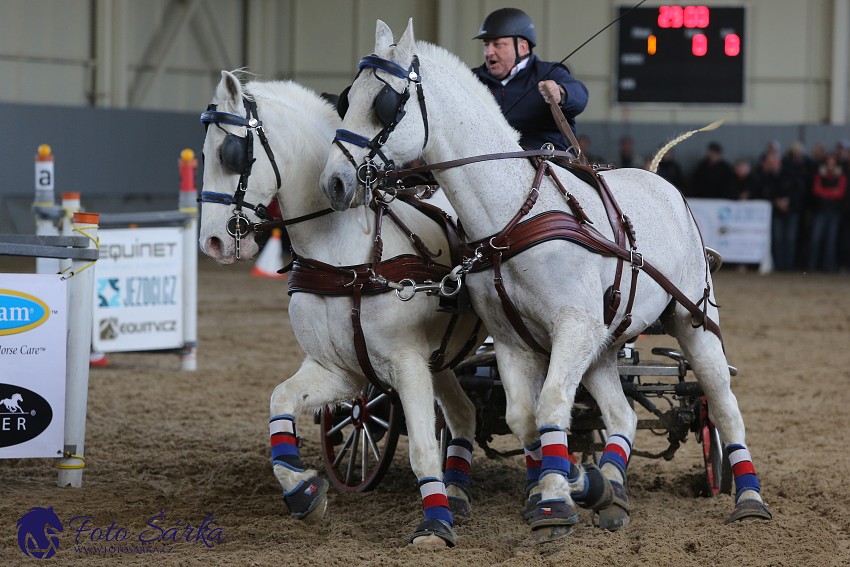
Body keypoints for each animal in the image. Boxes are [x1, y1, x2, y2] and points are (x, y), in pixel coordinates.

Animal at [195, 69, 480, 548]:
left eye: (228, 153)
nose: (211, 242)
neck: (343, 260)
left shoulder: (407, 363)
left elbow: (423, 448)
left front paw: (434, 525)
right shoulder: (340, 368)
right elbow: (281, 401)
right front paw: (302, 490)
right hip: (440, 361)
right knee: (464, 416)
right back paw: (459, 492)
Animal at [318, 20, 768, 540]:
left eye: (385, 104)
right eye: (348, 98)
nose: (333, 183)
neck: (512, 216)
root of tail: (663, 183)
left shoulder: (572, 328)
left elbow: (552, 406)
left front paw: (556, 502)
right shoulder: (515, 341)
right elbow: (525, 418)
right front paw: (570, 484)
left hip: (693, 322)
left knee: (722, 405)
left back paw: (749, 499)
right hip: (604, 343)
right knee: (622, 414)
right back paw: (612, 494)